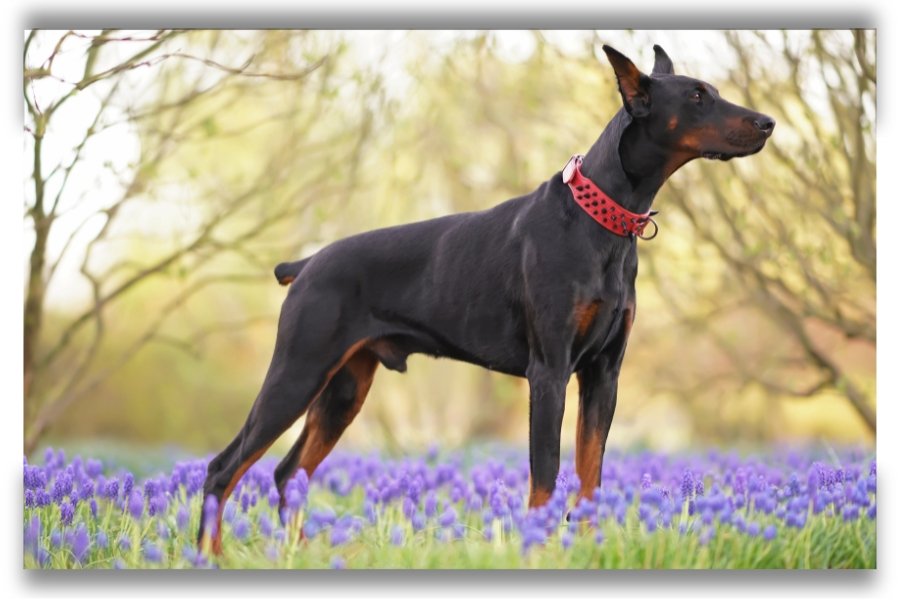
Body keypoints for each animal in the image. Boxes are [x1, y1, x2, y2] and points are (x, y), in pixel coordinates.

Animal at [199, 45, 772, 552]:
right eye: (696, 96)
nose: (767, 122)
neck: (602, 219)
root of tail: (305, 265)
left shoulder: (604, 374)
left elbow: (590, 475)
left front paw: (588, 547)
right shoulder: (549, 372)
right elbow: (546, 475)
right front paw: (539, 549)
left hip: (344, 387)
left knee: (288, 471)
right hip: (298, 371)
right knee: (223, 469)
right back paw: (212, 554)